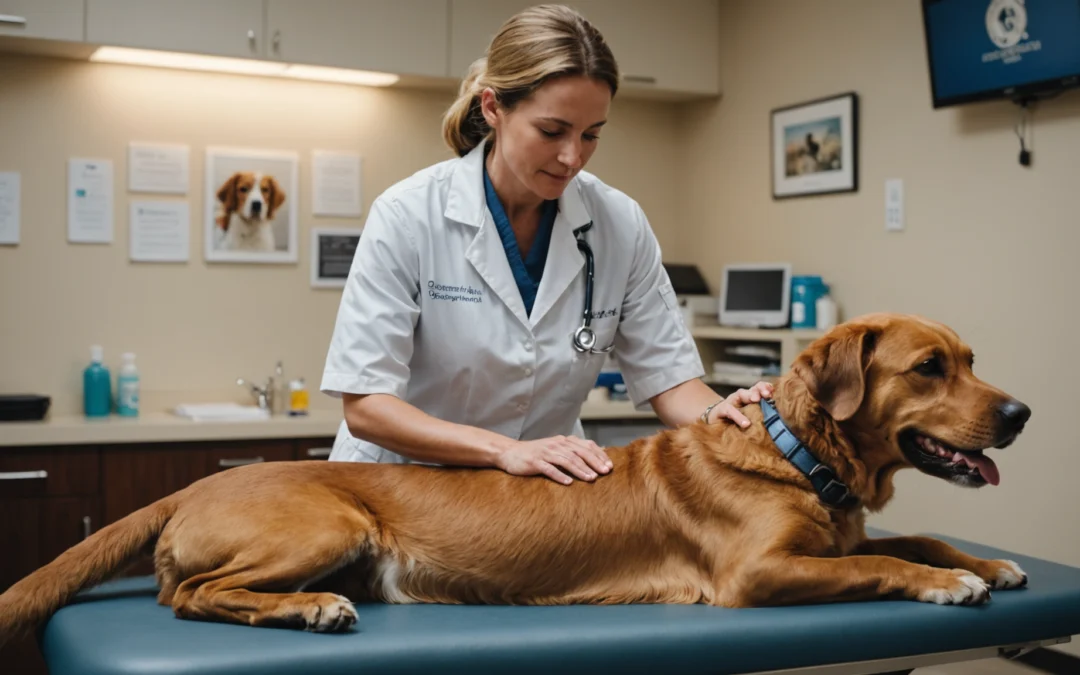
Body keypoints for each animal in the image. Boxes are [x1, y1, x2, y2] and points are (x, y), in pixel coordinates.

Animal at [0, 313, 1028, 639]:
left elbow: (915, 534)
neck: (802, 456)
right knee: (192, 595)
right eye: (929, 368)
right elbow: (879, 561)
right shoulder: (756, 576)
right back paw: (309, 608)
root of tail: (191, 484)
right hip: (328, 524)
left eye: (974, 359)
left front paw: (992, 562)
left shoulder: (847, 526)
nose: (1020, 413)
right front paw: (948, 582)